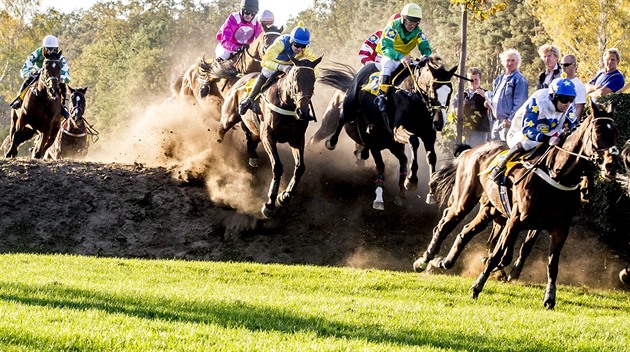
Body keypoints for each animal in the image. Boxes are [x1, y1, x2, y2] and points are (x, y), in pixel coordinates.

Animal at [220, 56, 324, 219]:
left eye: (313, 80)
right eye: (295, 78)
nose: (302, 112)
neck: (286, 104)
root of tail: (239, 79)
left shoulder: (297, 139)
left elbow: (300, 167)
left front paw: (285, 196)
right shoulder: (268, 137)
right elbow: (277, 167)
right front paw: (270, 204)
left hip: (256, 131)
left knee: (251, 141)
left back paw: (253, 157)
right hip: (229, 117)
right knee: (220, 132)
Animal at [318, 55, 456, 209]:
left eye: (450, 91)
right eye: (432, 90)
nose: (439, 122)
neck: (414, 98)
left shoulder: (428, 133)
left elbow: (431, 156)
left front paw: (431, 191)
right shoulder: (398, 130)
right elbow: (414, 141)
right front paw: (411, 180)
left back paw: (362, 153)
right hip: (350, 104)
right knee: (342, 119)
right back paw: (331, 142)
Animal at [414, 100, 624, 310]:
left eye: (616, 133)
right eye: (598, 130)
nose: (611, 165)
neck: (556, 174)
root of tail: (470, 150)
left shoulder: (559, 228)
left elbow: (551, 264)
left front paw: (549, 298)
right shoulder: (516, 220)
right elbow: (497, 255)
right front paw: (477, 287)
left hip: (490, 210)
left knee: (465, 231)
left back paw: (445, 262)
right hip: (464, 200)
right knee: (445, 224)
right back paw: (424, 261)